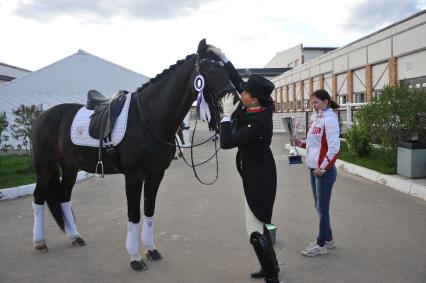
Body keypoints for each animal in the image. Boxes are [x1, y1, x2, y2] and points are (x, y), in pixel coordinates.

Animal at [30, 38, 236, 272]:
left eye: (225, 69)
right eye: (209, 70)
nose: (235, 99)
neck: (148, 117)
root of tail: (42, 116)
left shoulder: (156, 174)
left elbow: (148, 210)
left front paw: (151, 249)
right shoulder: (134, 176)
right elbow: (134, 213)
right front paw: (135, 257)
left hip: (70, 167)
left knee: (64, 197)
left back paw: (75, 237)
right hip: (45, 167)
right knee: (38, 199)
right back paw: (39, 242)